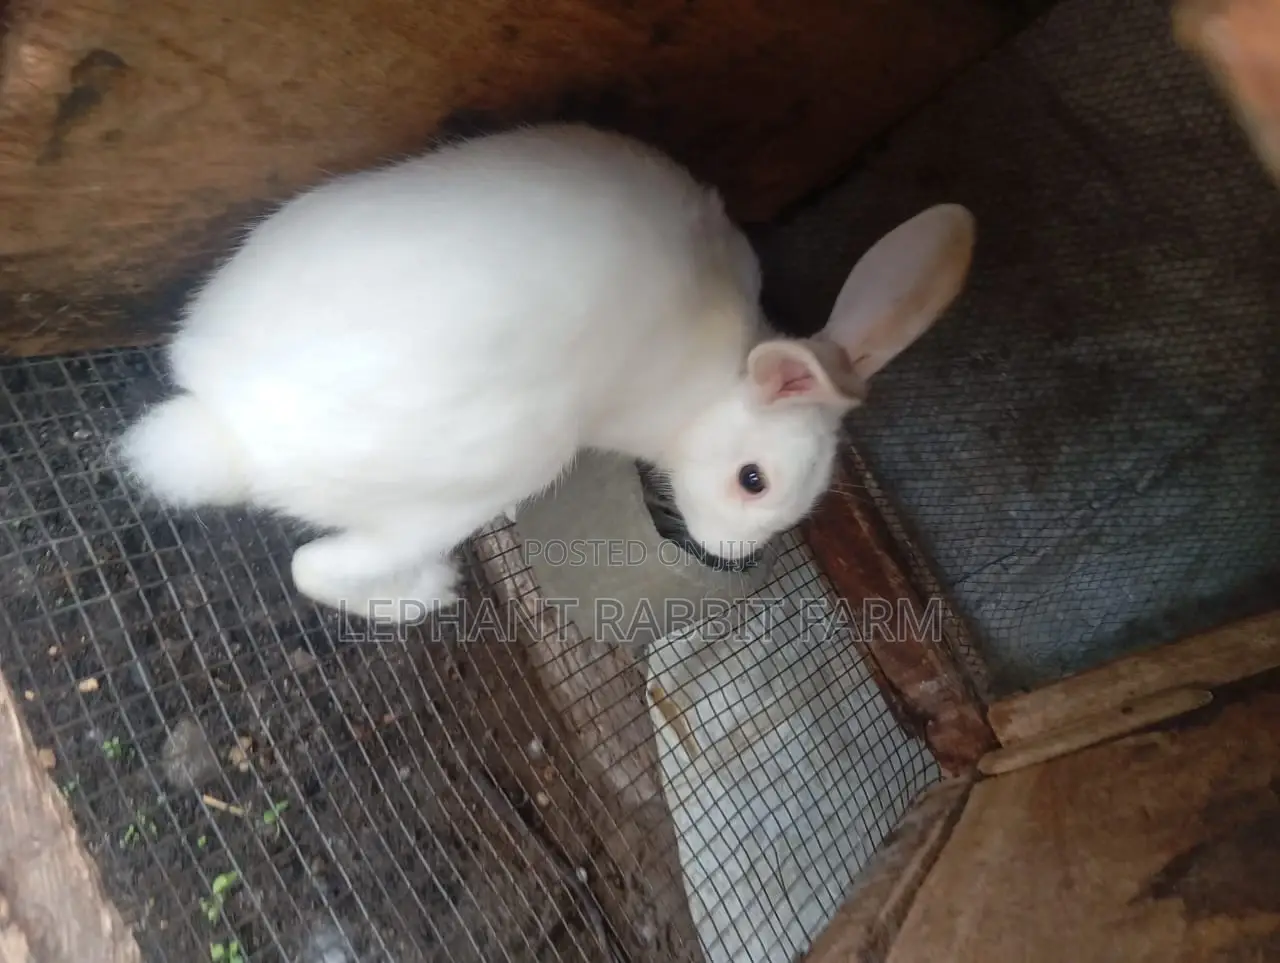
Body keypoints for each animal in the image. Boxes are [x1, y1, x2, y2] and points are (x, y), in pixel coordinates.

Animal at [114, 122, 976, 623]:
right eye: (753, 480)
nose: (728, 555)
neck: (705, 381)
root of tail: (222, 424)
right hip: (480, 478)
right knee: (313, 568)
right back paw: (423, 595)